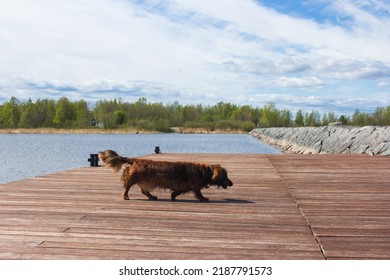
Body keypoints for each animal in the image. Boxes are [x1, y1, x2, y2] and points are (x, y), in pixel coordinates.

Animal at [99, 150, 233, 202]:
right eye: (226, 176)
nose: (232, 183)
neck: (205, 171)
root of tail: (135, 160)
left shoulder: (182, 186)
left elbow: (177, 192)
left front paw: (173, 196)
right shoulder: (195, 186)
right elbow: (199, 193)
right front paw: (204, 198)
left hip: (144, 181)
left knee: (144, 191)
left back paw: (152, 196)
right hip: (133, 178)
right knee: (126, 187)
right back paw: (125, 196)